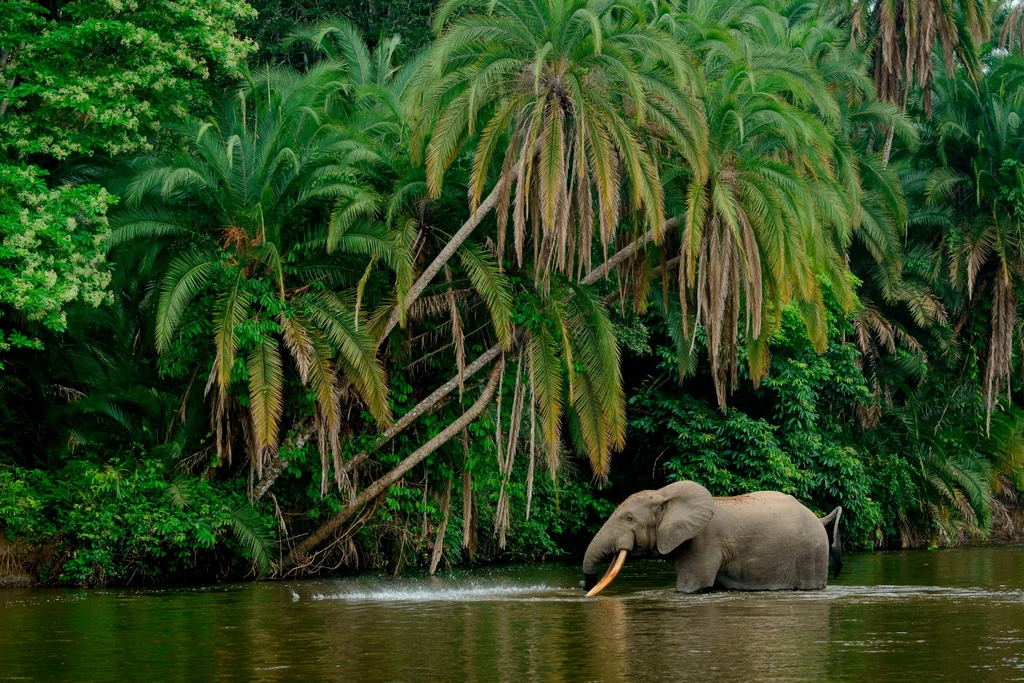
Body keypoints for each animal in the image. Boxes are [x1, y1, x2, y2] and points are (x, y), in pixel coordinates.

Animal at [585, 481, 839, 593]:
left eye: (629, 519)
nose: (583, 586)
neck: (663, 495)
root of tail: (819, 518)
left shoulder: (703, 543)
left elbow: (689, 588)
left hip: (813, 553)